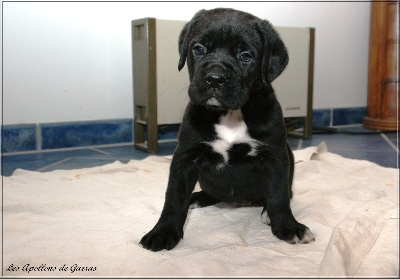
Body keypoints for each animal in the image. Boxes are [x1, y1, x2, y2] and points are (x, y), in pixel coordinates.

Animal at [141, 7, 316, 253]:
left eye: (246, 56)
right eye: (198, 49)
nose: (215, 78)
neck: (230, 114)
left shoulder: (275, 156)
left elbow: (278, 195)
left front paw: (288, 227)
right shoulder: (185, 156)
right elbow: (174, 196)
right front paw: (163, 232)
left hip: (288, 154)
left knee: (282, 194)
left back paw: (266, 212)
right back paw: (197, 198)